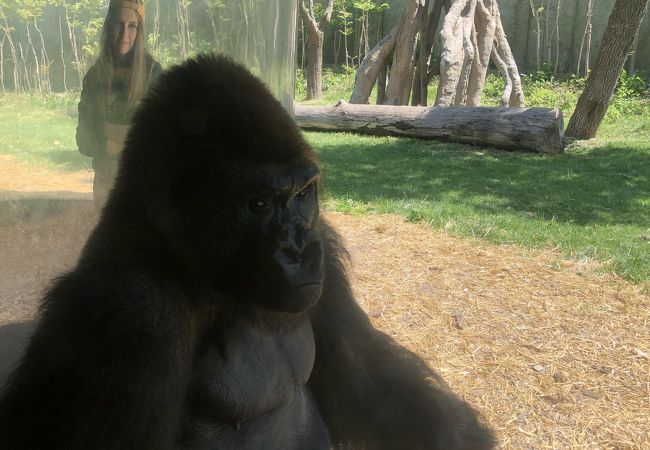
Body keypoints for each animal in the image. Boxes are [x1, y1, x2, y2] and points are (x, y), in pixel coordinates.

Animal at [0, 54, 492, 448]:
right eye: (258, 205)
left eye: (302, 195)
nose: (299, 249)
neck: (191, 260)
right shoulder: (127, 311)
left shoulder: (326, 256)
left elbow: (368, 379)